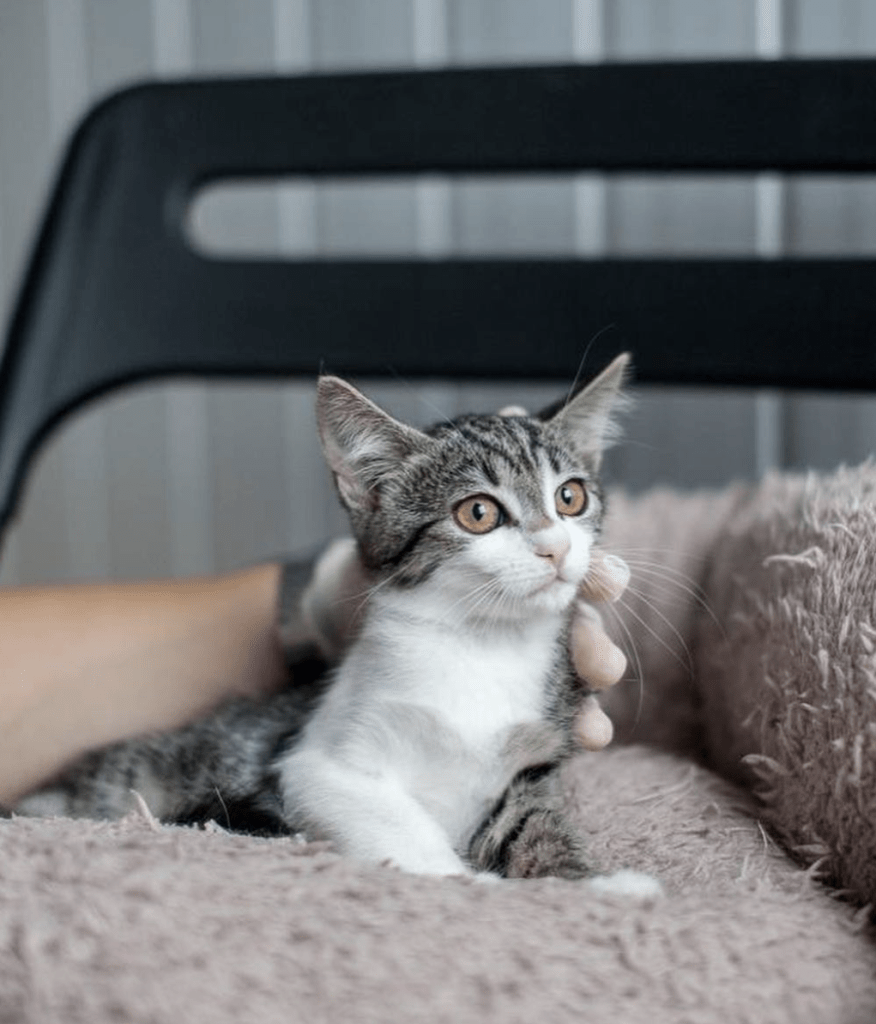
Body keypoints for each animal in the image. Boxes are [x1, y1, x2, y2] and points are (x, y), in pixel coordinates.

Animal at [11, 356, 651, 884]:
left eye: (569, 497)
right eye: (478, 512)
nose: (555, 548)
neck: (481, 644)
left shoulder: (532, 763)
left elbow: (537, 828)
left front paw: (595, 888)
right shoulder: (313, 764)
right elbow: (396, 826)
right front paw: (465, 883)